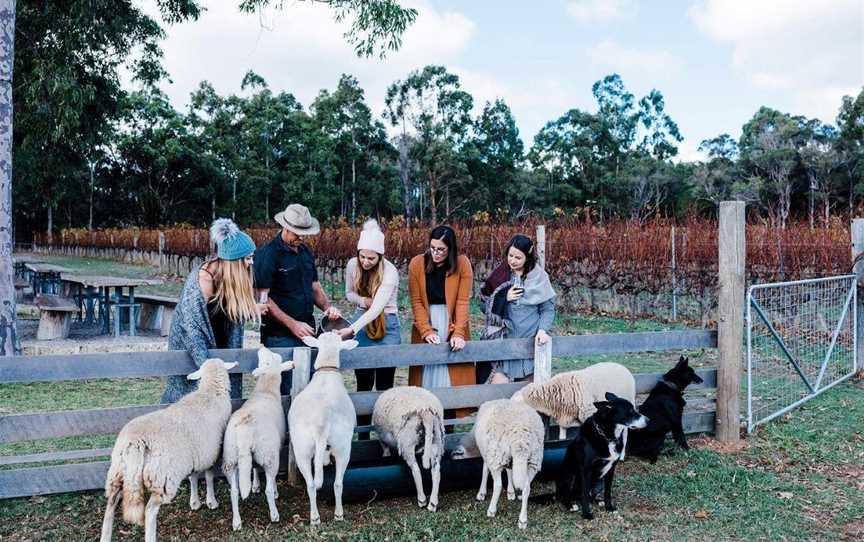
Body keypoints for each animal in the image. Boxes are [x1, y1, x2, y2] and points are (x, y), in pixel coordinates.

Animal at [100, 356, 236, 542]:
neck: (210, 393)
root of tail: (135, 442)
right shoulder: (211, 452)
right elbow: (208, 477)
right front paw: (211, 502)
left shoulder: (194, 454)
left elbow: (193, 477)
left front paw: (195, 503)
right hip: (163, 478)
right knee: (149, 511)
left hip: (118, 474)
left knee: (110, 506)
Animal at [221, 348, 296, 532]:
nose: (262, 348)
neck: (266, 391)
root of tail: (245, 428)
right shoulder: (274, 449)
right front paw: (272, 491)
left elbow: (254, 467)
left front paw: (254, 486)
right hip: (268, 455)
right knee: (268, 487)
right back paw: (274, 514)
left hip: (230, 457)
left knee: (234, 491)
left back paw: (237, 522)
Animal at [290, 334, 358, 524]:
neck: (327, 371)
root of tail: (321, 422)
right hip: (342, 447)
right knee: (337, 483)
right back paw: (337, 514)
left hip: (302, 449)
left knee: (313, 484)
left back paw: (315, 518)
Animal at [448, 400, 544, 532]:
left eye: (455, 455)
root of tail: (520, 437)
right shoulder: (506, 457)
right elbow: (509, 471)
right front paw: (511, 492)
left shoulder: (488, 454)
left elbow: (485, 470)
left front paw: (481, 493)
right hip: (534, 460)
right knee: (526, 488)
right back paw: (523, 520)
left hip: (497, 455)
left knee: (498, 485)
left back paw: (491, 510)